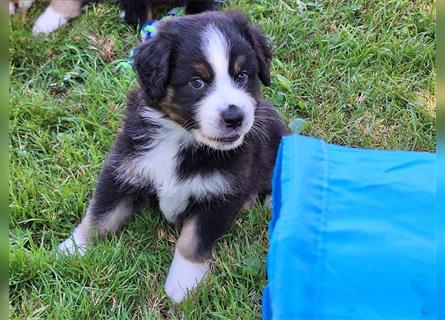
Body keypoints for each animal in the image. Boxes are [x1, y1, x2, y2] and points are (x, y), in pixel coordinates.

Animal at [57, 11, 286, 304]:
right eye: (197, 82)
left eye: (243, 75)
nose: (235, 117)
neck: (181, 140)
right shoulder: (123, 168)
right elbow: (100, 214)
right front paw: (73, 249)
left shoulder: (222, 192)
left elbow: (193, 240)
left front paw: (182, 283)